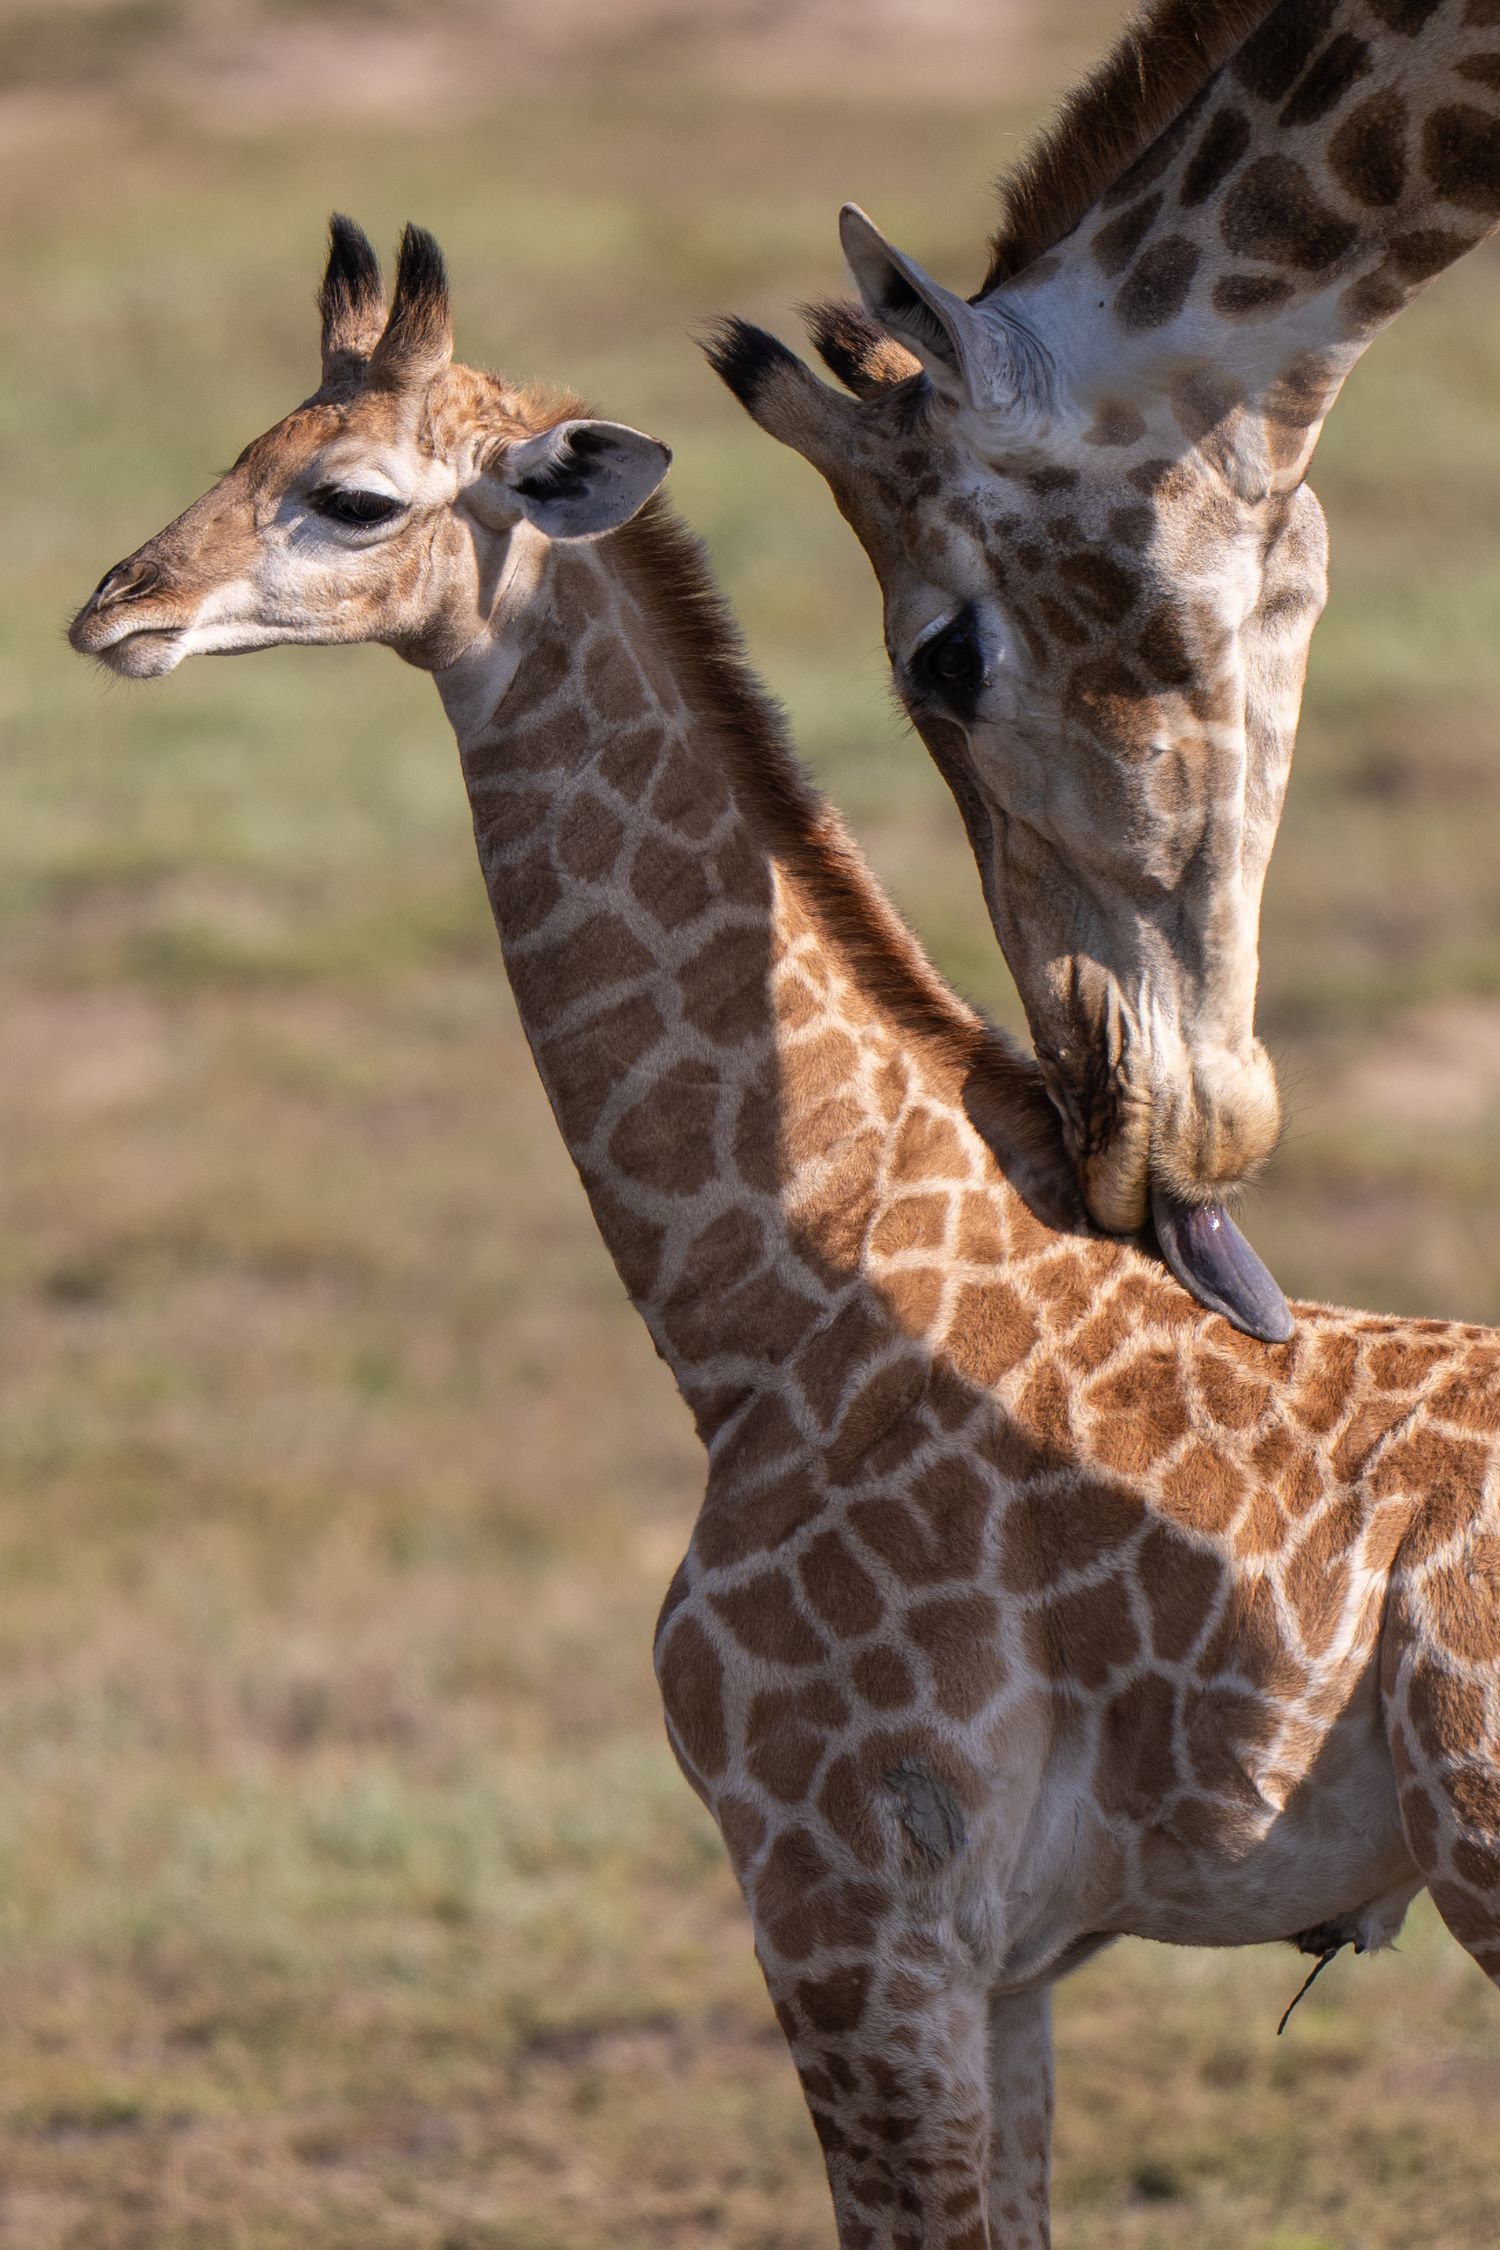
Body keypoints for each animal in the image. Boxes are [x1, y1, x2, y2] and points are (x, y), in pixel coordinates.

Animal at [69, 218, 1500, 2249]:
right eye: (249, 438)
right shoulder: (1001, 1956)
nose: (115, 609)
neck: (771, 1296)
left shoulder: (843, 1894)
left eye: (350, 497)